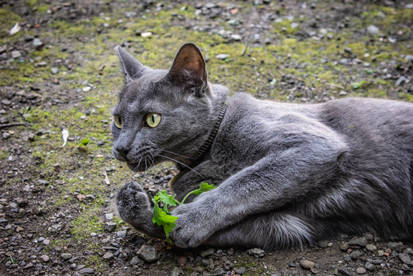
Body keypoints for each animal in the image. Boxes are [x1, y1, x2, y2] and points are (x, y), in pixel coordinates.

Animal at [112, 43, 412, 250]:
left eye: (152, 119)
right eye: (117, 120)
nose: (121, 148)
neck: (207, 153)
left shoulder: (314, 145)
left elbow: (246, 183)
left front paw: (189, 218)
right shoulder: (289, 225)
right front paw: (135, 205)